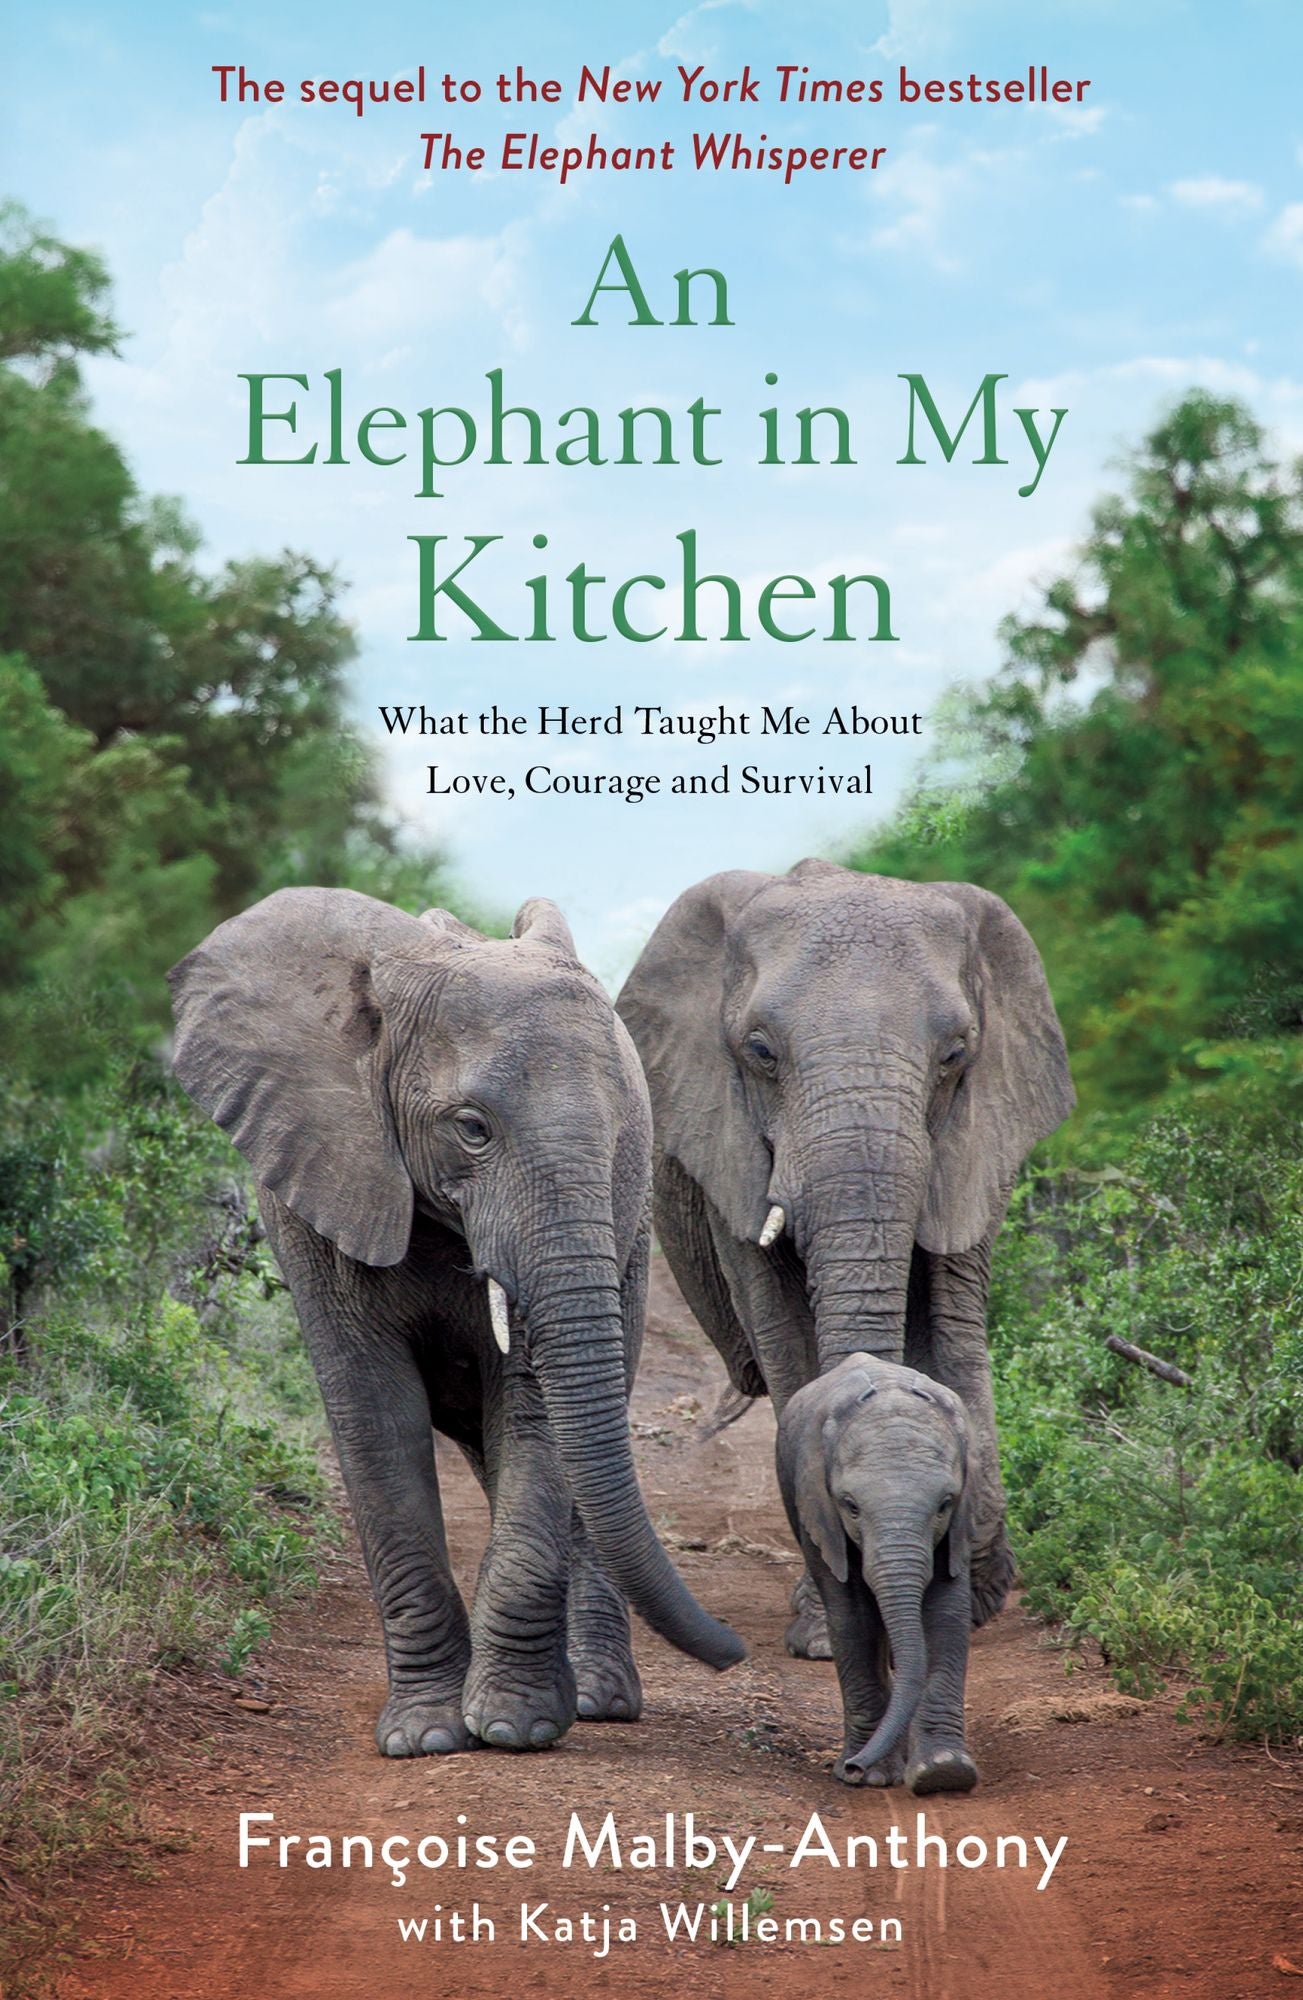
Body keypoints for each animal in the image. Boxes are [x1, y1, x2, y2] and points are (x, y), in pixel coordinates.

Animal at [168, 887, 744, 1759]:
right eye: (472, 1128)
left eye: (622, 1138)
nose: (735, 1653)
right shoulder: (315, 1182)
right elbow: (375, 1419)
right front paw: (424, 1738)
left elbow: (535, 1413)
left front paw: (512, 1726)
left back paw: (599, 1699)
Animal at [617, 859, 1073, 1655]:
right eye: (760, 1052)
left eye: (955, 1054)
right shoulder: (729, 1150)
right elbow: (787, 1338)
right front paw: (826, 1632)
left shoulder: (976, 1137)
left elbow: (954, 1331)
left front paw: (972, 1595)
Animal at [776, 1352, 978, 1793]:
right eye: (850, 1506)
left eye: (945, 1504)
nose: (853, 1767)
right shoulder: (819, 1510)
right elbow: (852, 1617)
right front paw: (872, 1776)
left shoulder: (959, 1524)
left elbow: (947, 1614)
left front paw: (943, 1772)